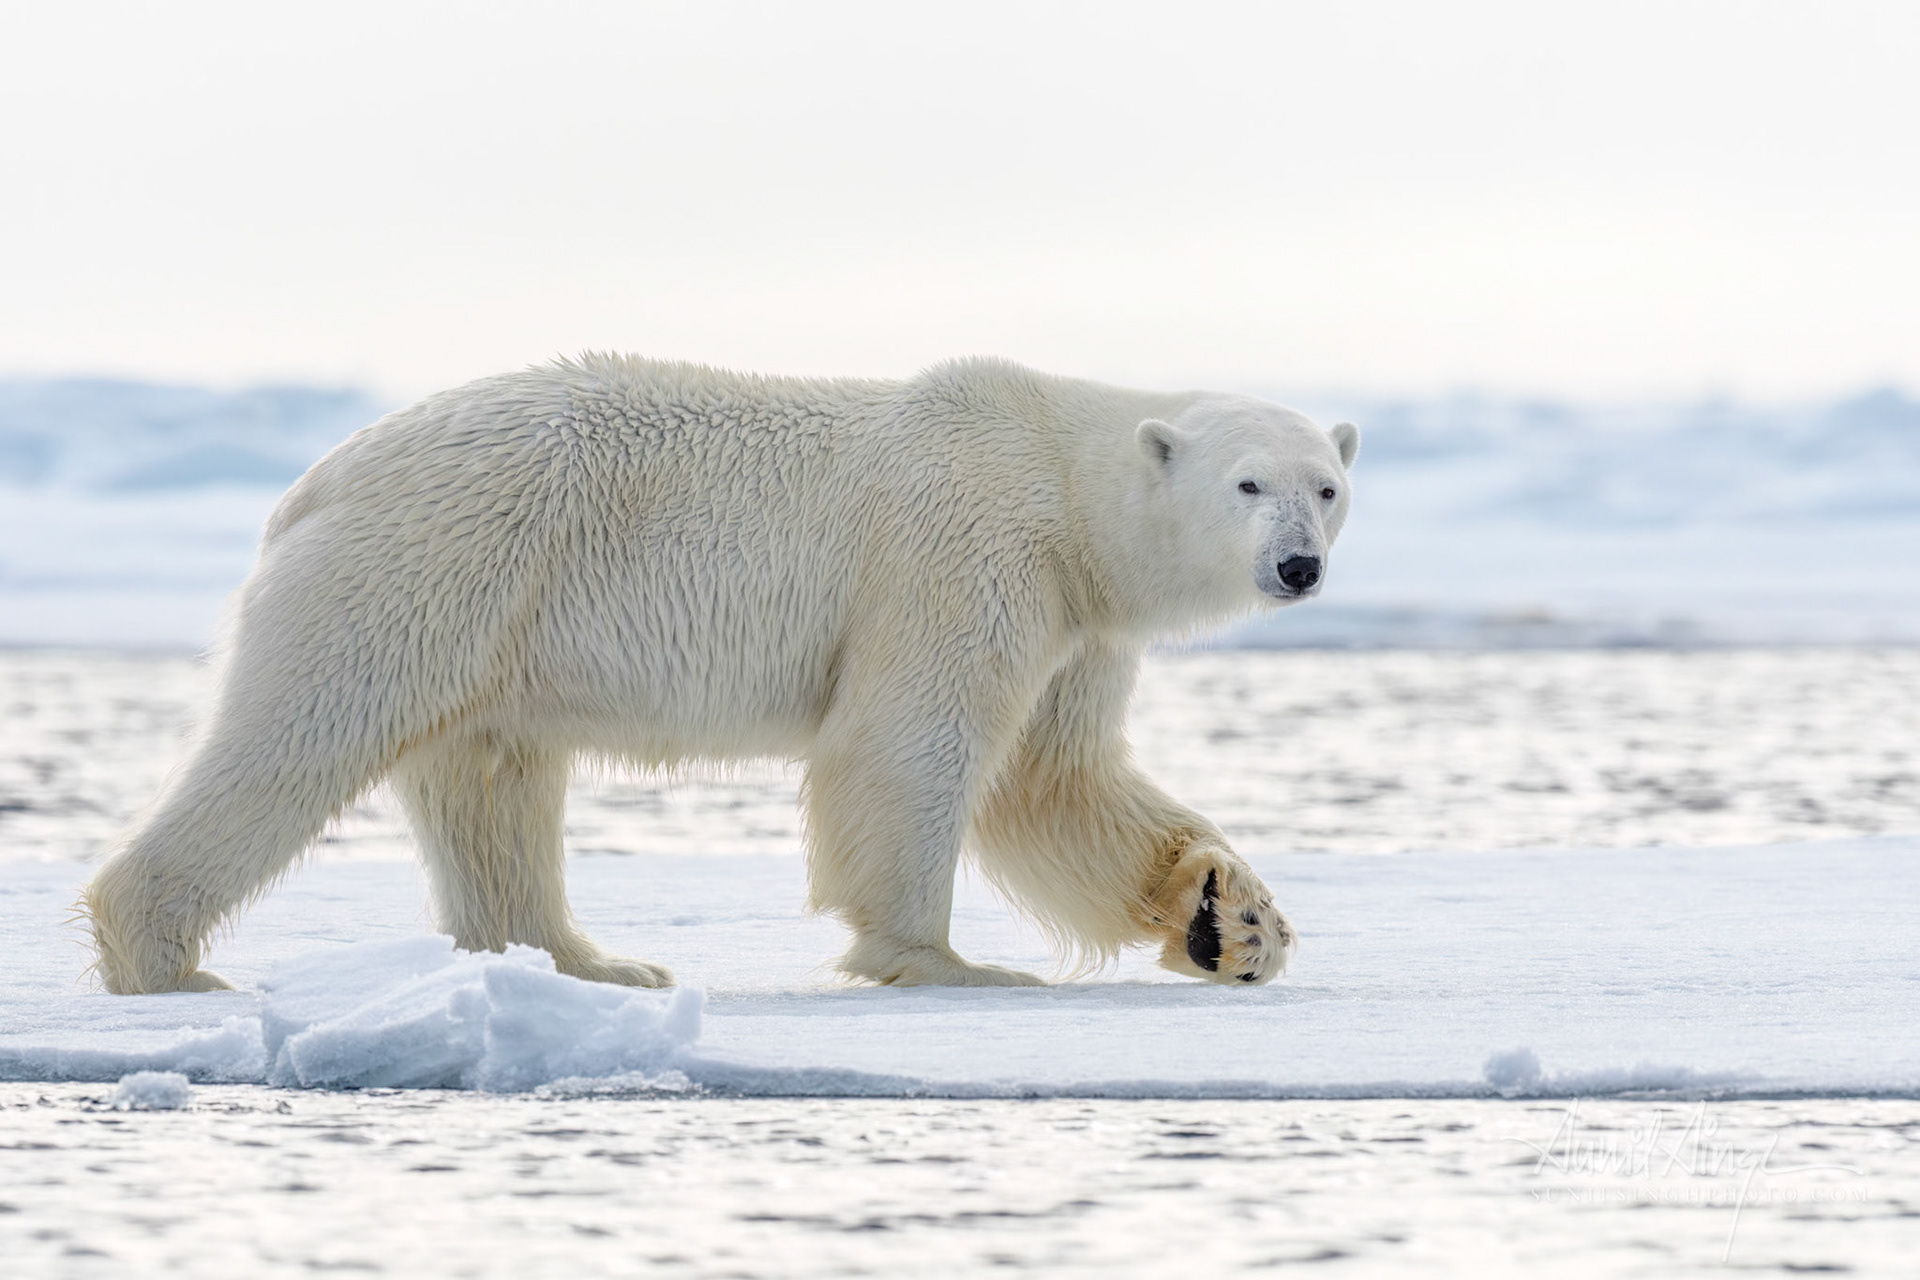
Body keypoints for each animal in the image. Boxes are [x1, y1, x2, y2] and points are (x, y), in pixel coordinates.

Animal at [83, 354, 1359, 993]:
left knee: (492, 785)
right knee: (295, 739)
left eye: (1327, 484)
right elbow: (912, 745)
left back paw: (592, 962)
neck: (1057, 479)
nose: (1296, 564)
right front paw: (950, 962)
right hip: (424, 567)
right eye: (1248, 482)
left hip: (491, 624)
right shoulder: (963, 552)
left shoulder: (1075, 622)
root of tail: (314, 482)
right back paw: (163, 962)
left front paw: (1235, 920)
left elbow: (1055, 781)